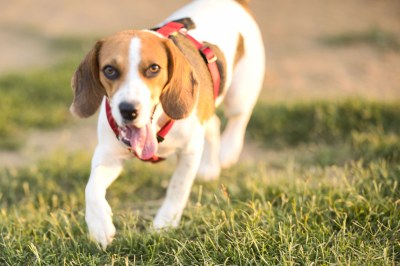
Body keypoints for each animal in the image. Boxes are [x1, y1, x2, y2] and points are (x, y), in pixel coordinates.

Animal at [70, 0, 264, 247]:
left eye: (154, 68)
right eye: (109, 70)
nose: (128, 110)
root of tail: (236, 3)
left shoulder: (189, 151)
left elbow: (177, 188)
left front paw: (164, 223)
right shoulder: (109, 154)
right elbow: (91, 188)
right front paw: (99, 225)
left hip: (239, 95)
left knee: (237, 119)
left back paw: (229, 151)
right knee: (214, 123)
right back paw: (210, 167)